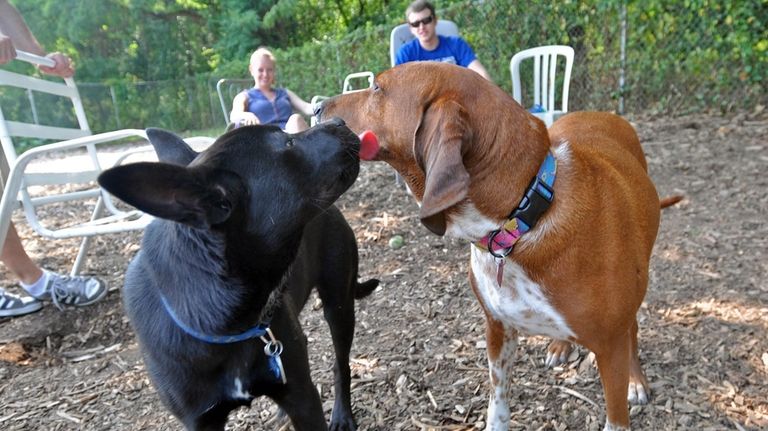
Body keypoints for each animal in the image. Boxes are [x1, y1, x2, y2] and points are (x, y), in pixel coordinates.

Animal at [97, 119, 380, 431]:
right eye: (288, 144)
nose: (337, 121)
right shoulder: (201, 421)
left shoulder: (303, 397)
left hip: (338, 304)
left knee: (341, 363)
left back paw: (341, 415)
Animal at [318, 62, 684, 430]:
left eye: (377, 88)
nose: (319, 108)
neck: (520, 217)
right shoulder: (497, 328)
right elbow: (498, 403)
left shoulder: (609, 348)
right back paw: (560, 346)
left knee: (633, 329)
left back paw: (636, 380)